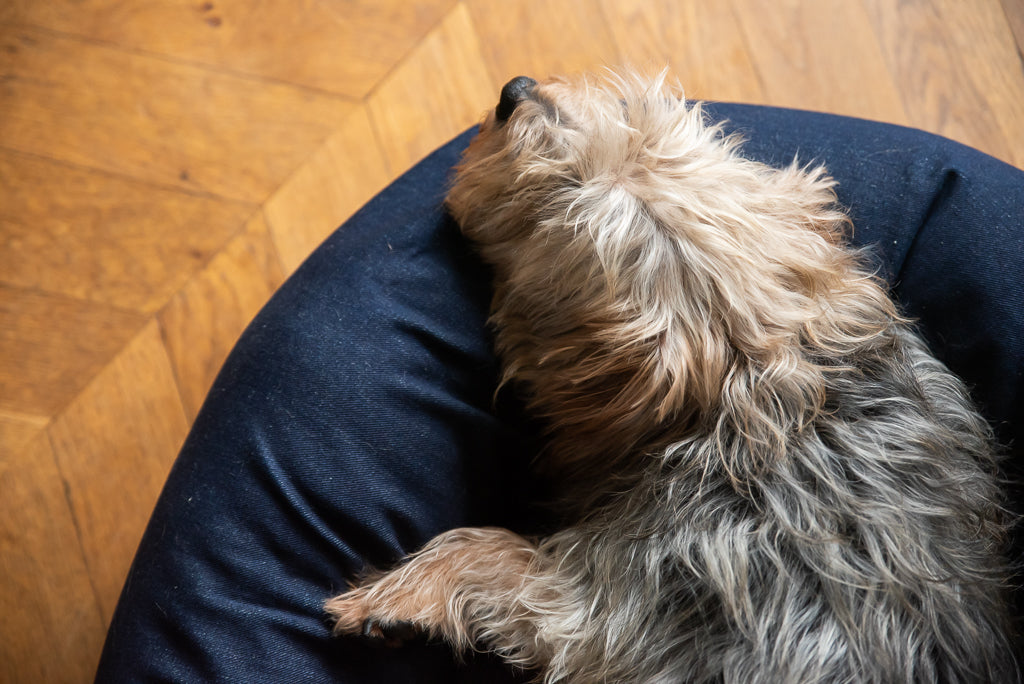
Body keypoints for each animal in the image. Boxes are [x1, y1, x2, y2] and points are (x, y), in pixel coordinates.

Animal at [327, 70, 1015, 684]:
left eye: (549, 195)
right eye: (630, 112)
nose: (513, 90)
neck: (771, 403)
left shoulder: (604, 608)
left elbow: (498, 556)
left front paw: (392, 599)